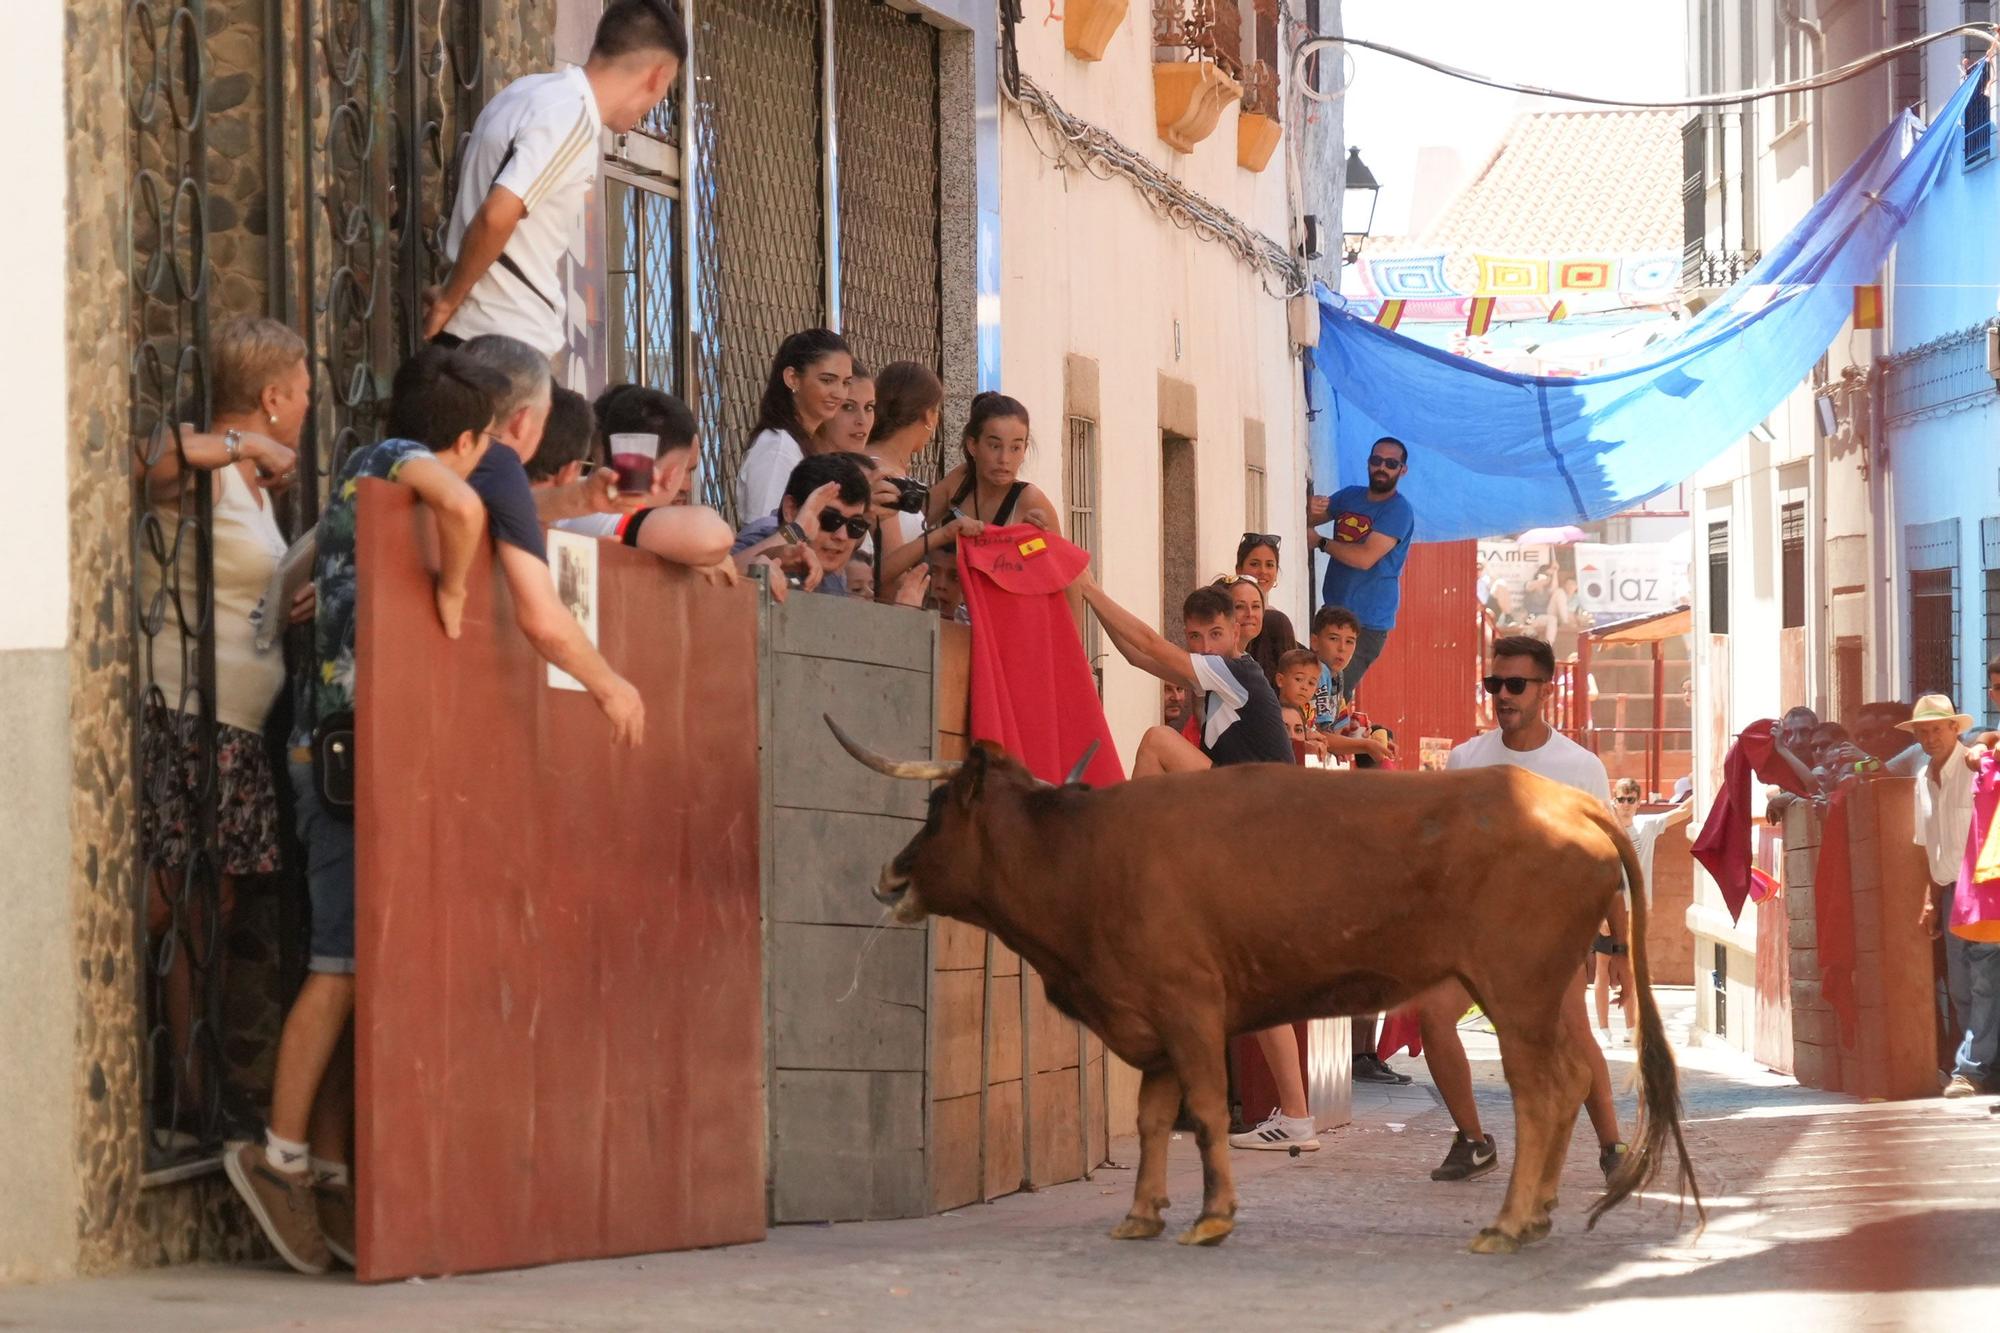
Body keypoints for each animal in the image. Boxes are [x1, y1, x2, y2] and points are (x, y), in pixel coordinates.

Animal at [828, 716, 1704, 1248]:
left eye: (937, 807)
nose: (888, 872)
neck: (1085, 854)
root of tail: (1574, 804)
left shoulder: (1187, 1007)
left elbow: (1208, 1109)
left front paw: (1213, 1215)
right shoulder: (1153, 1025)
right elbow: (1154, 1119)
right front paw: (1142, 1213)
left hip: (1518, 992)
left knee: (1544, 1093)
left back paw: (1510, 1222)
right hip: (1542, 993)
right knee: (1569, 1082)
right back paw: (1537, 1213)